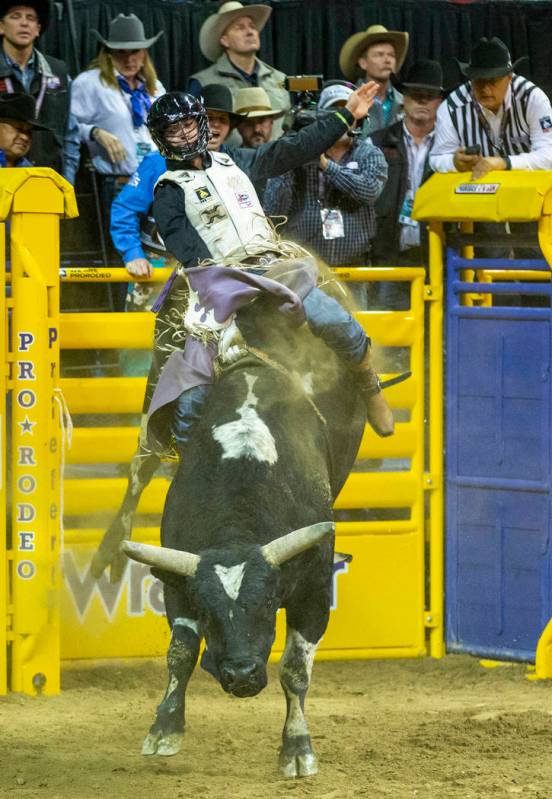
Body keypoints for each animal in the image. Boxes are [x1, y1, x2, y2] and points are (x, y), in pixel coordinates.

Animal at [94, 270, 370, 776]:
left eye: (268, 603)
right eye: (207, 611)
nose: (240, 674)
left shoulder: (314, 589)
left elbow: (295, 668)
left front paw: (296, 747)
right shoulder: (179, 584)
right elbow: (181, 653)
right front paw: (165, 728)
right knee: (141, 464)